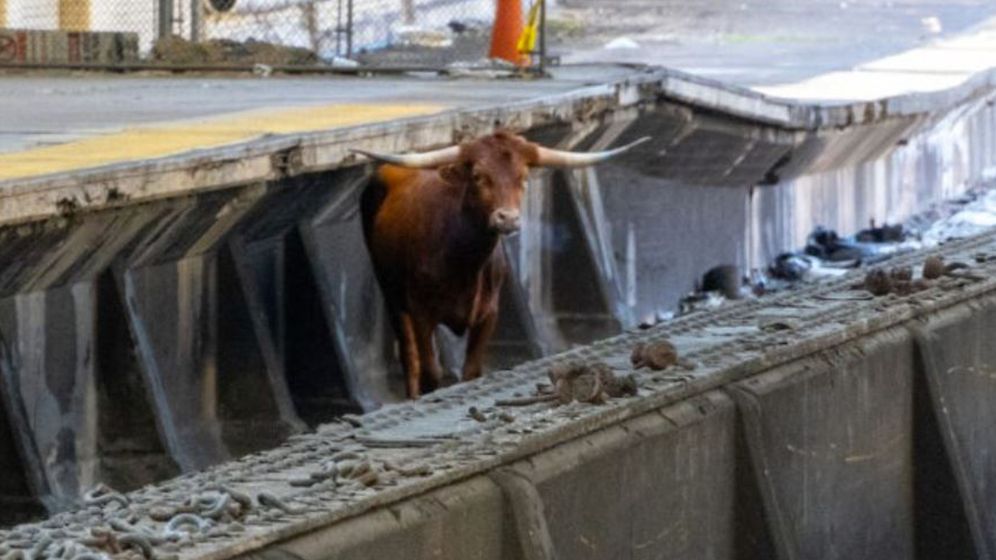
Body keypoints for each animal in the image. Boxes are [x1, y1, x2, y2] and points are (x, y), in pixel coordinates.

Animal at [354, 132, 649, 398]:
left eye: (523, 177)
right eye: (478, 176)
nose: (507, 218)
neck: (461, 262)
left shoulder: (489, 314)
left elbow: (471, 371)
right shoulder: (421, 312)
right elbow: (430, 373)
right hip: (392, 296)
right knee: (409, 357)